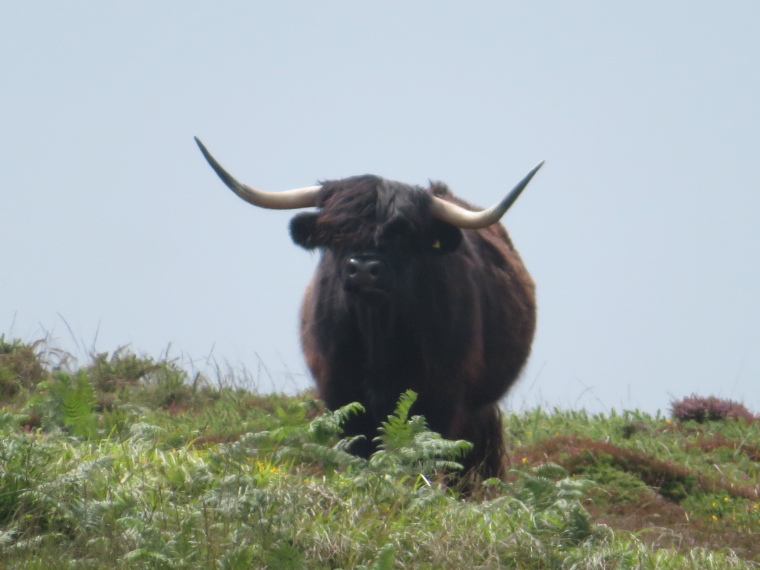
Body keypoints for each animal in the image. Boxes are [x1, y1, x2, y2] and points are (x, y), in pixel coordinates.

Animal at [196, 138, 540, 480]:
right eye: (336, 233)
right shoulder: (341, 396)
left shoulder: (444, 396)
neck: (377, 334)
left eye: (402, 235)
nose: (362, 269)